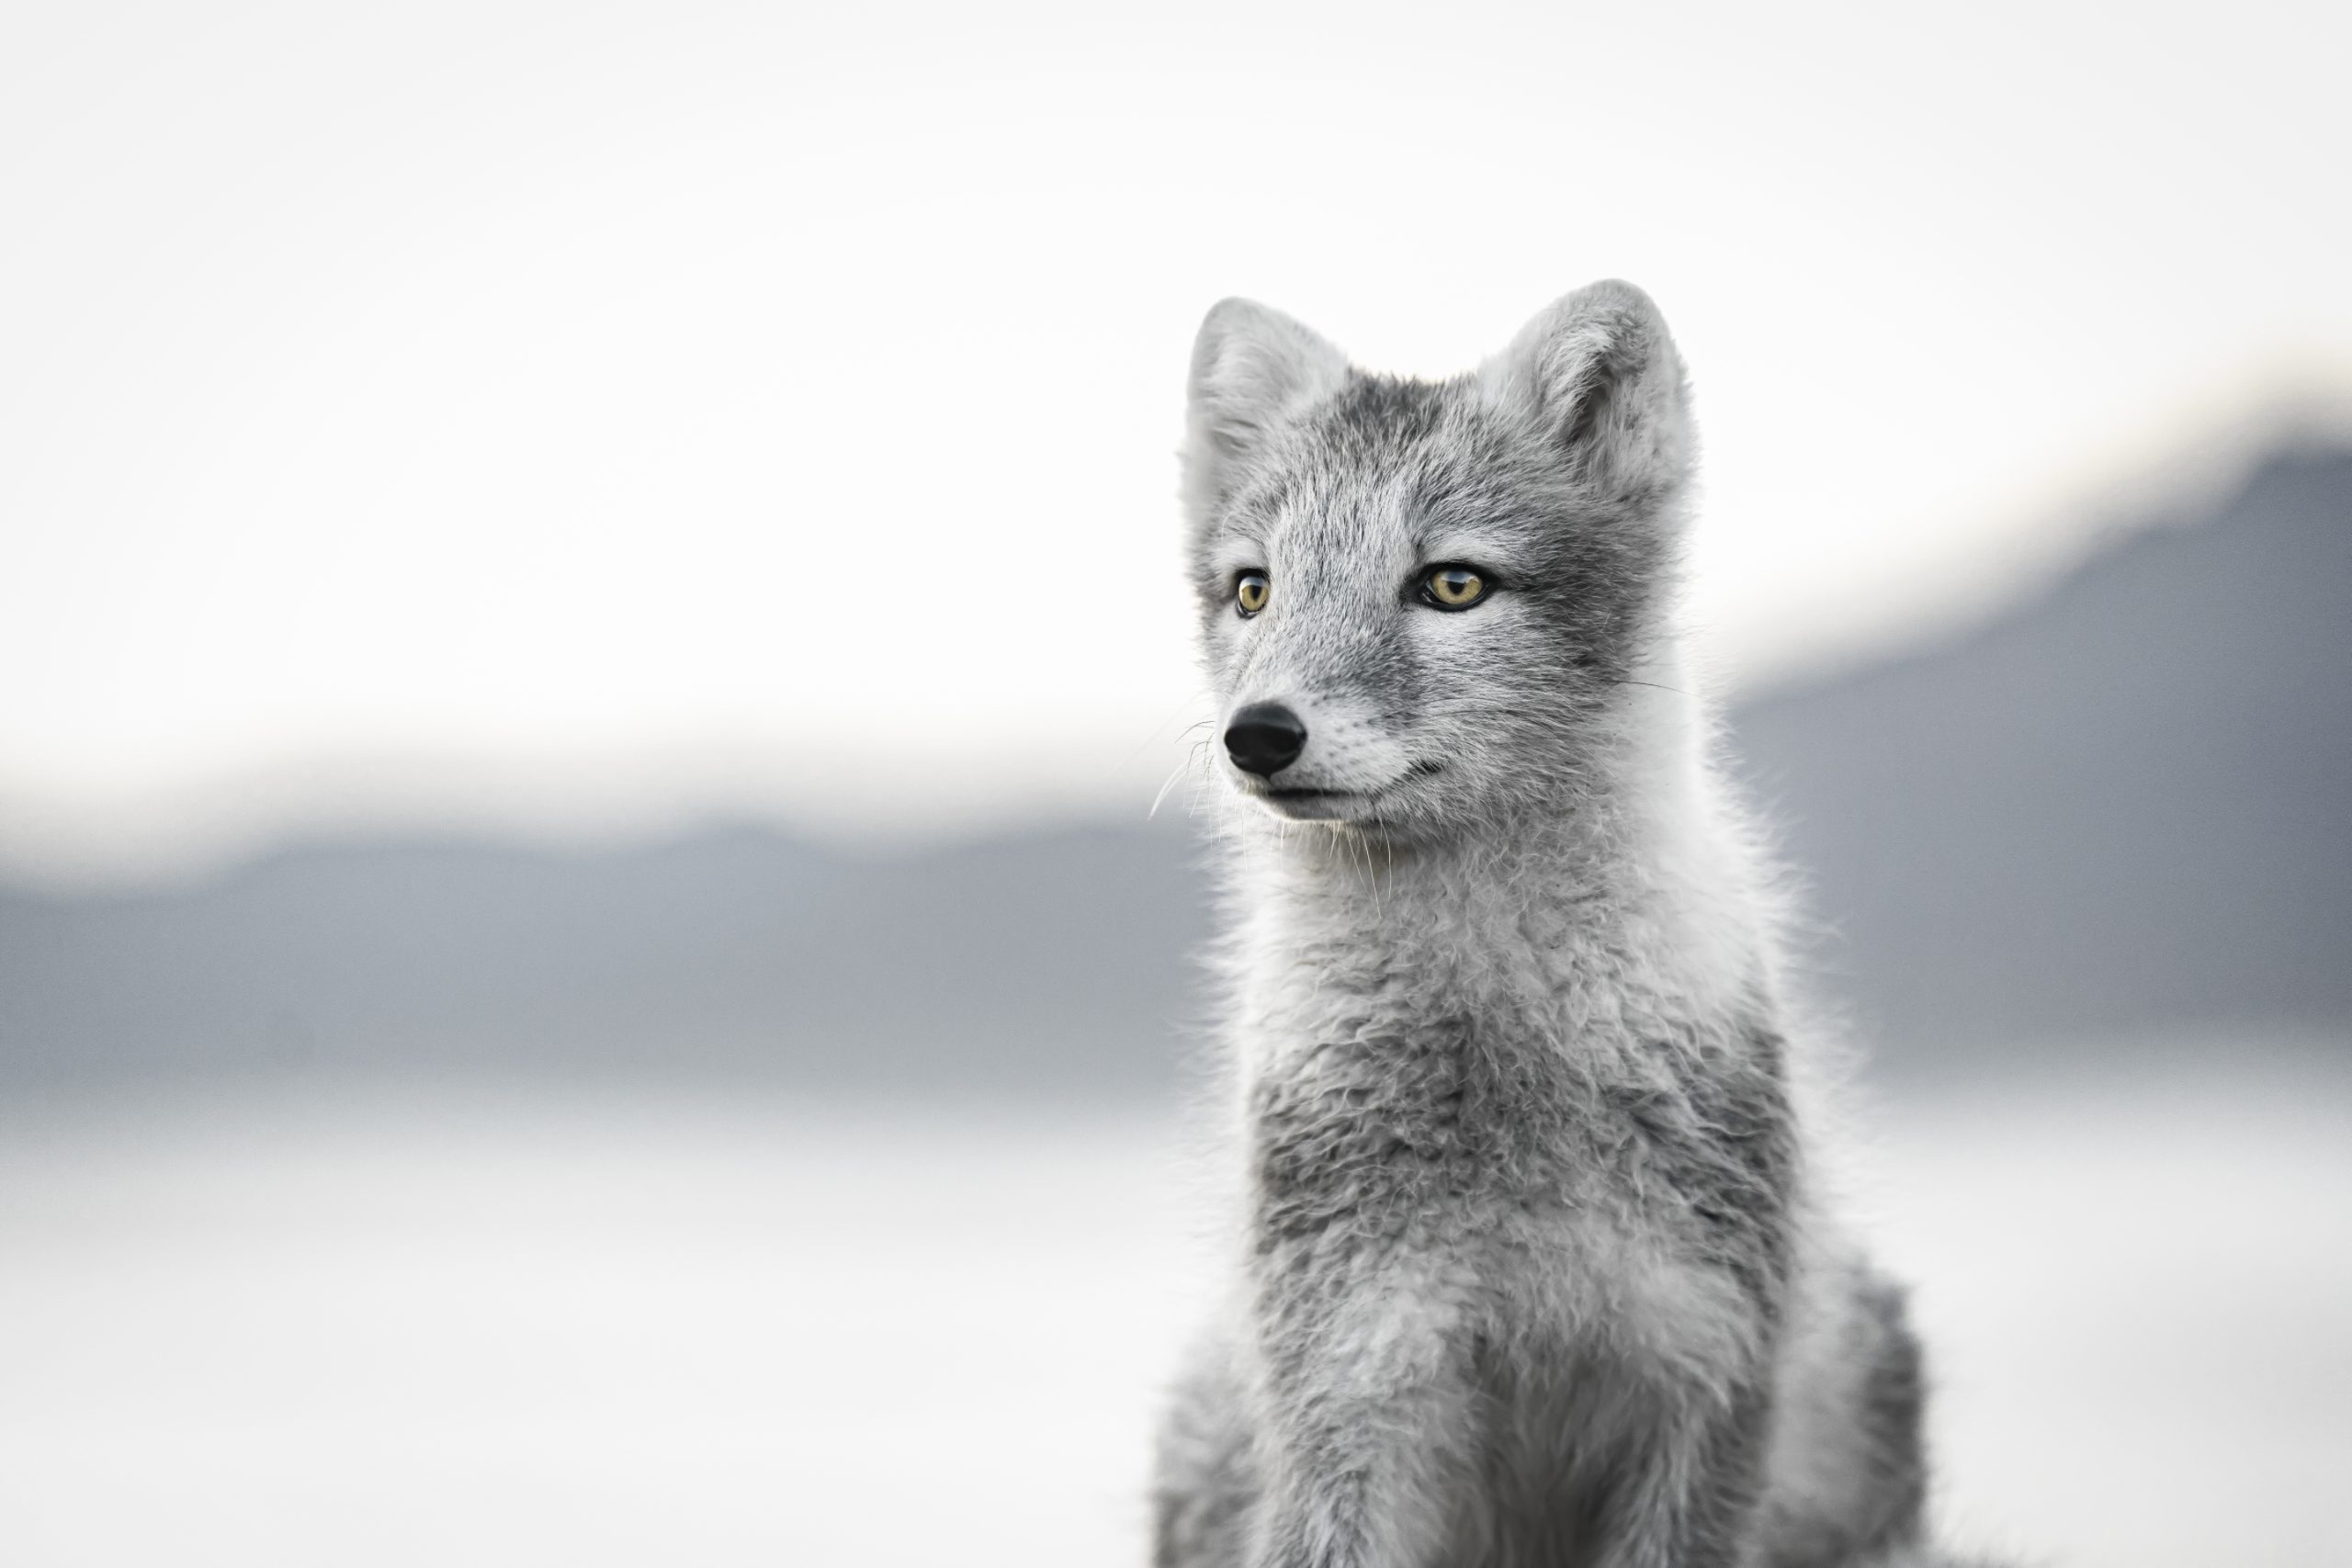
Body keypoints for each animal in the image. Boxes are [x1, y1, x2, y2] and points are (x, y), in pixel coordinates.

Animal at [1149, 282, 2004, 1568]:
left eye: (1452, 584)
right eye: (1254, 590)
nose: (1258, 734)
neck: (1494, 1044)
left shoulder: (1701, 1375)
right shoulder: (1349, 1382)